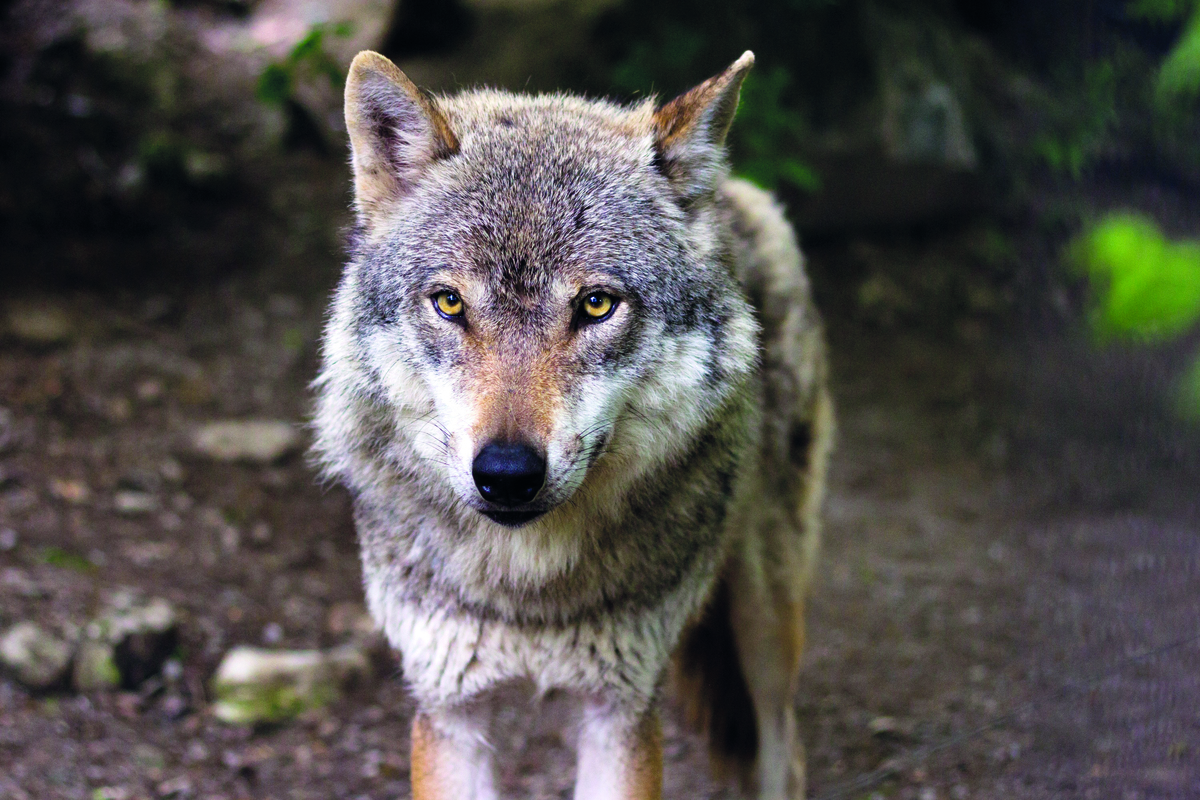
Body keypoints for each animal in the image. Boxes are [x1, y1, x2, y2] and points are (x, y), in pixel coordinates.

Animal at [312, 48, 834, 800]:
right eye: (449, 303)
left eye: (595, 305)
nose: (506, 474)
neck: (529, 590)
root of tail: (733, 192)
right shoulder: (449, 709)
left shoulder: (620, 710)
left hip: (765, 622)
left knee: (783, 748)